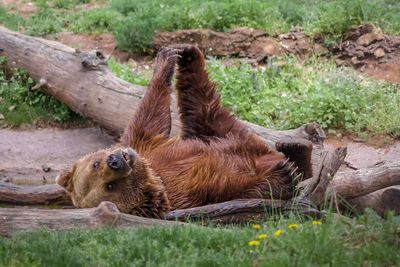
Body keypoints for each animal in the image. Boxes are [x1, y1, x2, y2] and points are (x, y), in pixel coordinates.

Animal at [56, 45, 312, 219]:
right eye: (109, 187)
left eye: (95, 164)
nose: (115, 160)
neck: (155, 174)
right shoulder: (187, 194)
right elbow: (236, 188)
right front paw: (282, 175)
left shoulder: (146, 145)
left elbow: (151, 118)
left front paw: (169, 56)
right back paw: (292, 160)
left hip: (219, 133)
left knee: (204, 107)